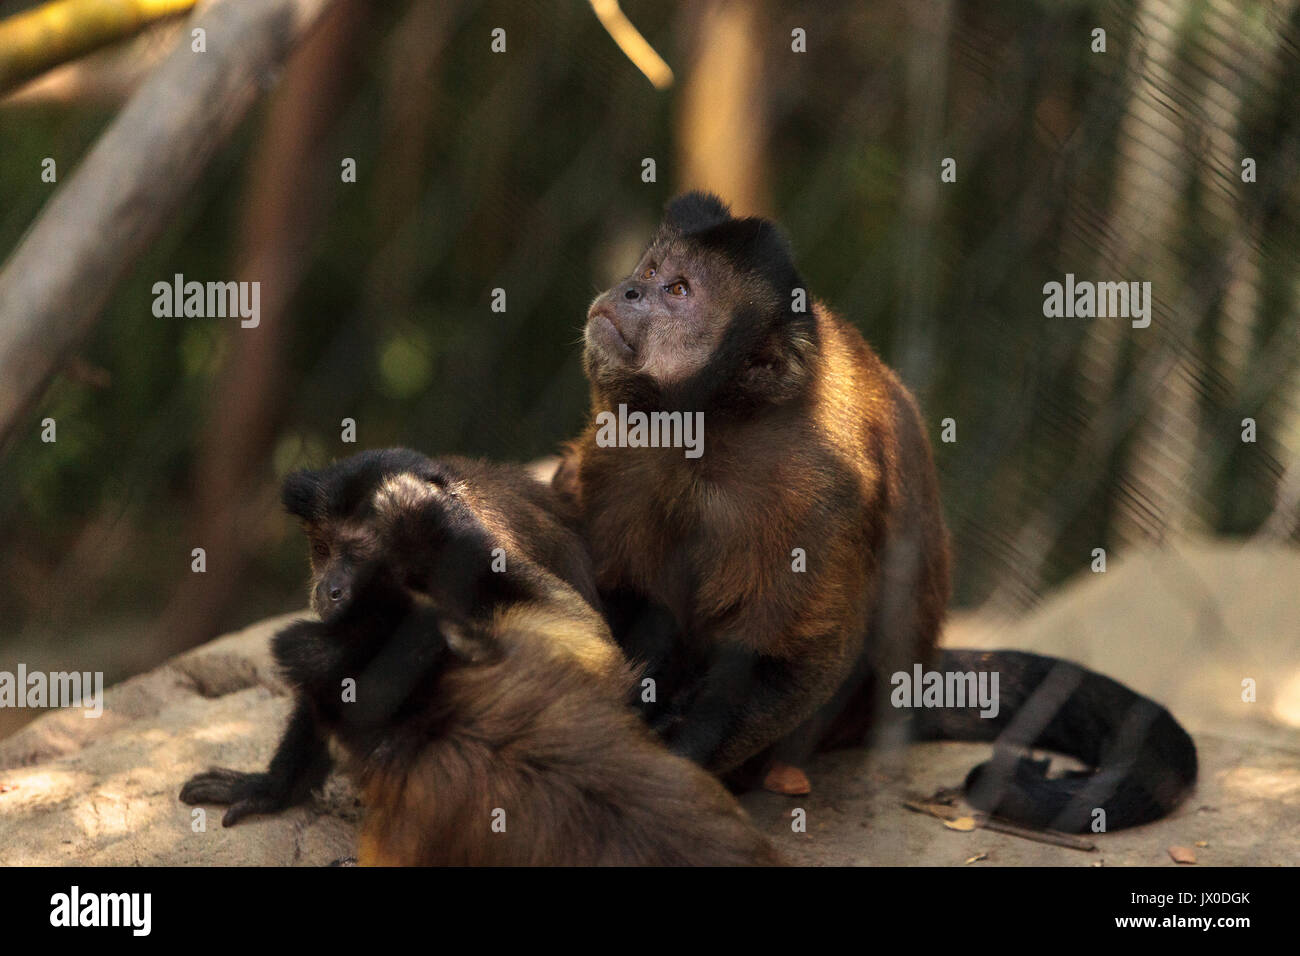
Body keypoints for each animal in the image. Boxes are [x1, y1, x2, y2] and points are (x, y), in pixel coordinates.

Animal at [178, 447, 774, 868]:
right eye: (323, 549)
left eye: (356, 552)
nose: (328, 587)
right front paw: (273, 788)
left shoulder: (488, 546)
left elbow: (582, 647)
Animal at [553, 192, 1190, 832]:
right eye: (650, 271)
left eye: (679, 290)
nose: (630, 290)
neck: (710, 430)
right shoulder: (623, 452)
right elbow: (633, 596)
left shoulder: (810, 485)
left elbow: (793, 659)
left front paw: (669, 759)